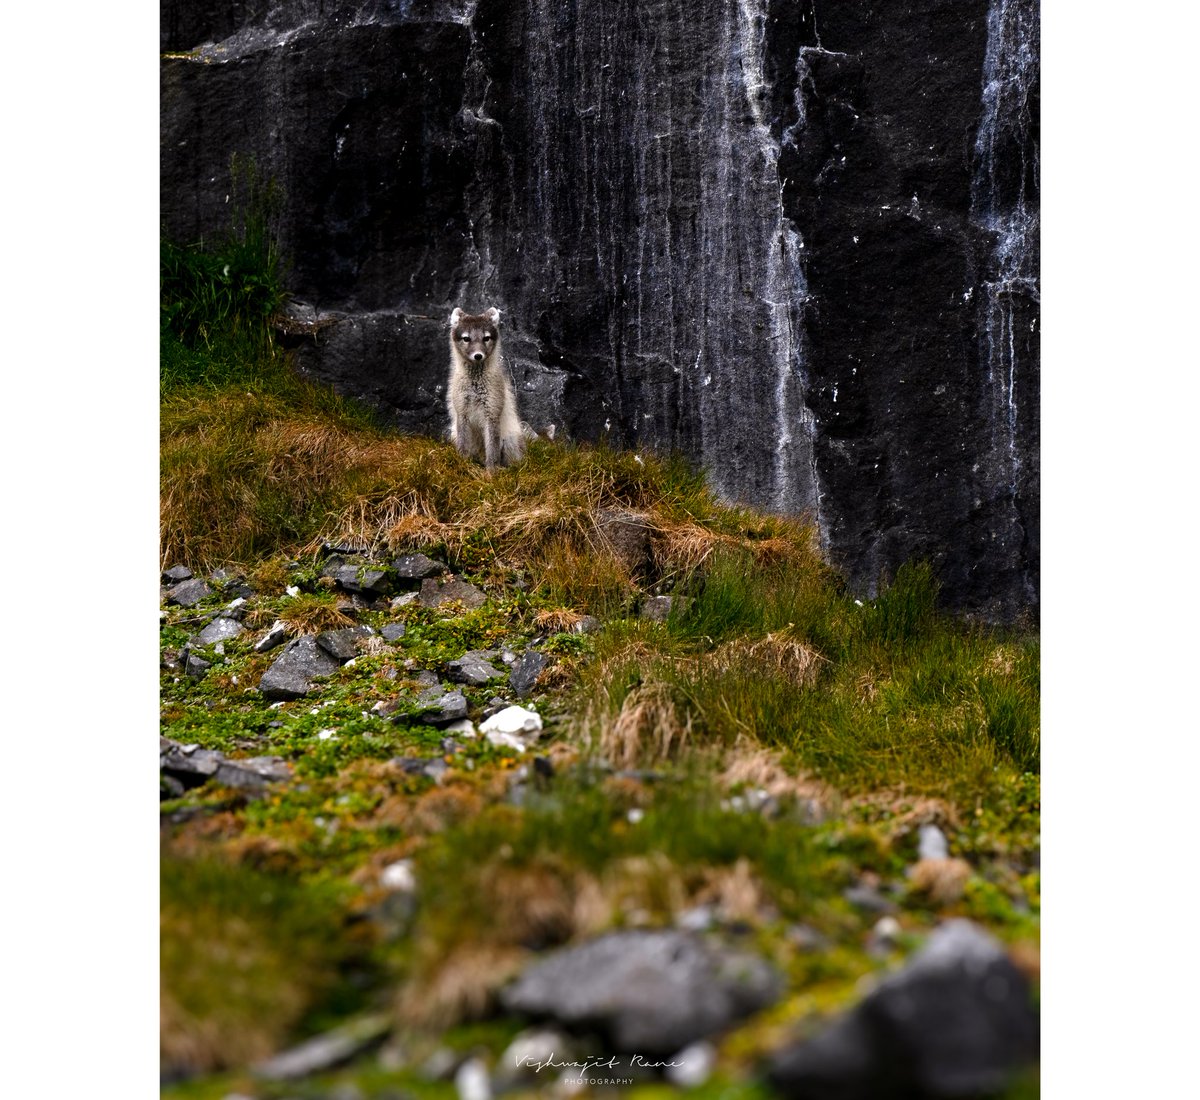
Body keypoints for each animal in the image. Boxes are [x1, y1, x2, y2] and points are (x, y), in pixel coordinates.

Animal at [446, 306, 526, 470]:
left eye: (486, 338)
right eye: (466, 338)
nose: (478, 355)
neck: (475, 386)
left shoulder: (492, 413)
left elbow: (492, 450)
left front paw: (491, 473)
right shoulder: (461, 411)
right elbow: (463, 445)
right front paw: (462, 464)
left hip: (509, 440)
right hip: (453, 433)